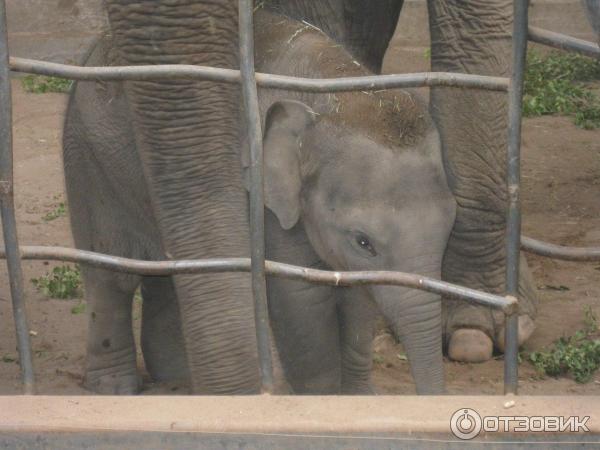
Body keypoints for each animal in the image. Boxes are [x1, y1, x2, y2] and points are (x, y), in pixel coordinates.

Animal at [246, 11, 458, 394]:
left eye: (452, 224)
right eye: (363, 242)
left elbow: (358, 296)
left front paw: (360, 394)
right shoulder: (273, 206)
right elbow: (300, 298)